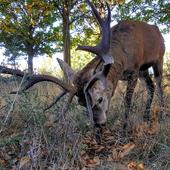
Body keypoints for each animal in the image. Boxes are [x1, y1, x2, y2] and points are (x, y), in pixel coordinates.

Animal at [0, 0, 165, 134]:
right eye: (81, 103)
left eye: (99, 99)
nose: (99, 125)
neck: (122, 55)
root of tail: (158, 31)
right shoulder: (126, 74)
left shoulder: (135, 69)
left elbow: (127, 100)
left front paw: (124, 130)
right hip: (144, 70)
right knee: (150, 86)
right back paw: (146, 116)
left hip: (158, 59)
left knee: (159, 85)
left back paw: (162, 114)